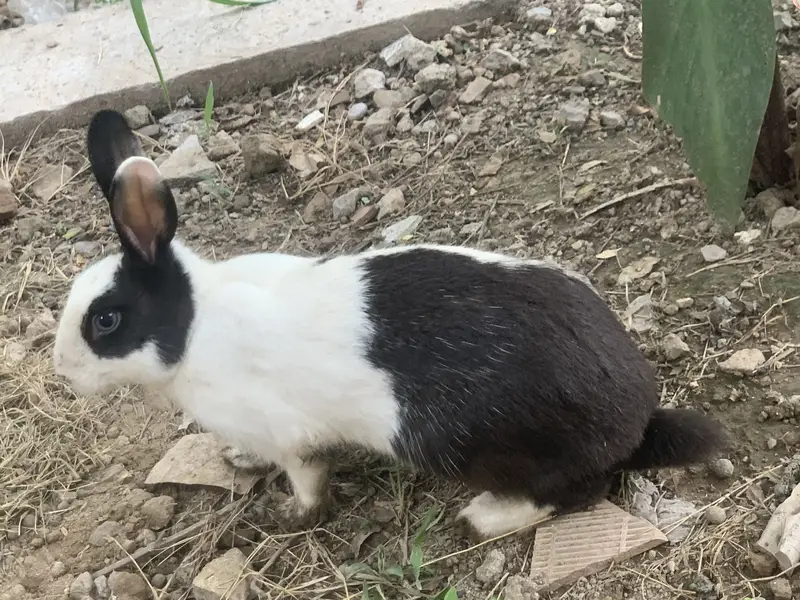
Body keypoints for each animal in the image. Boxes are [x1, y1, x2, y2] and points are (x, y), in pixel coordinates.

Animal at [53, 109, 727, 540]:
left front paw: (289, 519)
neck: (194, 328)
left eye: (105, 320)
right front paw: (240, 460)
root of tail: (636, 419)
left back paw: (482, 517)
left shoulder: (295, 439)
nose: (63, 373)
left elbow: (309, 484)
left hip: (500, 451)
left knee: (575, 493)